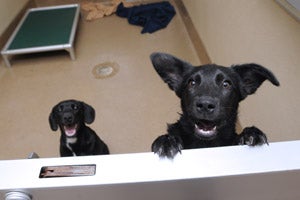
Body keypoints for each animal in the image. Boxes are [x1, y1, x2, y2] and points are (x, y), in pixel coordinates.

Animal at [150, 52, 278, 159]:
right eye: (192, 83)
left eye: (226, 84)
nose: (205, 105)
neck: (205, 143)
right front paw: (167, 141)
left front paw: (250, 133)